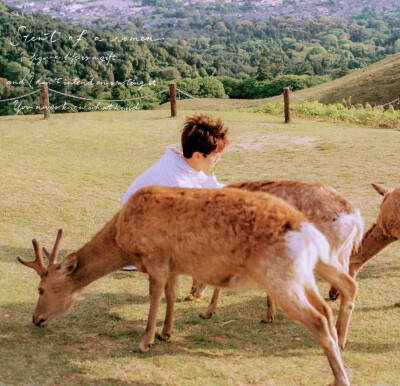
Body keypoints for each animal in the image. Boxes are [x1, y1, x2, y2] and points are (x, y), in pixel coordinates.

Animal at [19, 185, 350, 384]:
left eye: (41, 289)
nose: (36, 319)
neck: (124, 241)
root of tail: (305, 228)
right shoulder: (175, 264)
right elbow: (171, 294)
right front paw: (167, 333)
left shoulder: (155, 257)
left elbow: (154, 296)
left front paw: (145, 342)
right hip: (300, 274)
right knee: (326, 309)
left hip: (278, 275)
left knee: (318, 318)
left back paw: (340, 378)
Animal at [188, 179, 362, 348]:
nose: (192, 292)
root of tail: (356, 219)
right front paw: (269, 316)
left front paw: (207, 312)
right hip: (342, 253)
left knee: (349, 285)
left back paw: (339, 341)